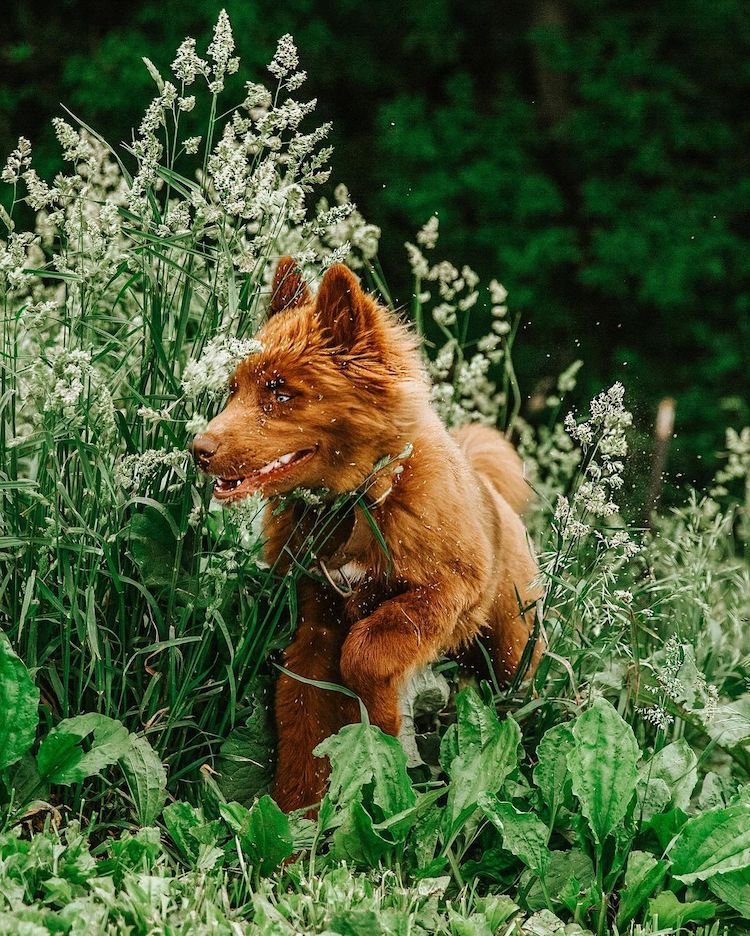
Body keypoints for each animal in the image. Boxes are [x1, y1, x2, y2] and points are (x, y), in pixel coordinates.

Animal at [194, 256, 544, 812]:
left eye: (282, 392)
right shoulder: (315, 618)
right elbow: (301, 713)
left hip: (512, 645)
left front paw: (382, 732)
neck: (355, 503)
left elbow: (366, 651)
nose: (198, 449)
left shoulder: (448, 591)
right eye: (234, 389)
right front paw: (296, 814)